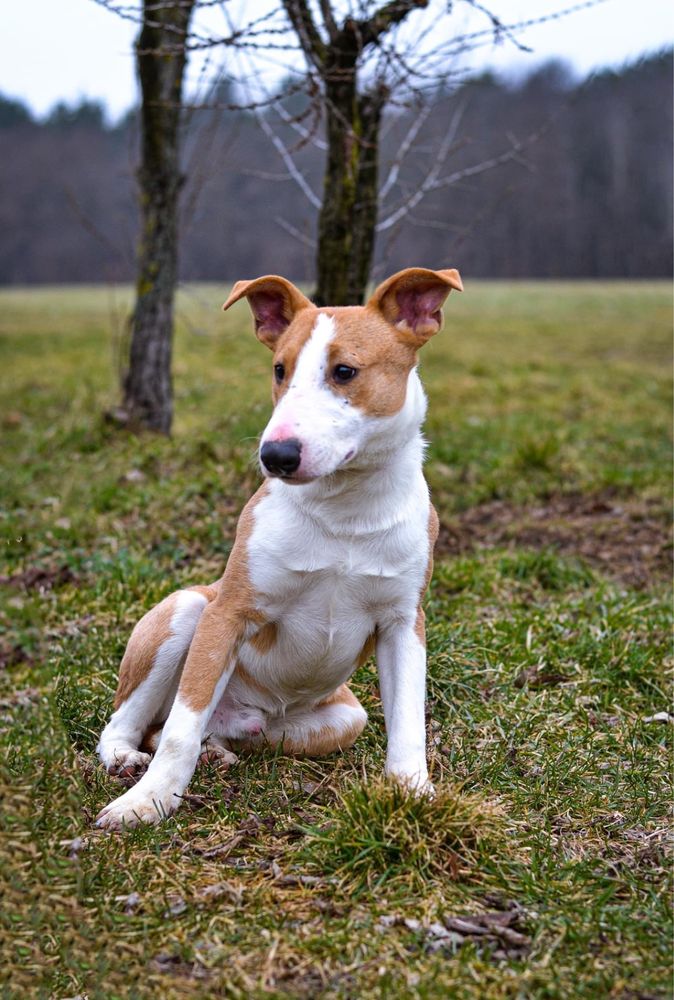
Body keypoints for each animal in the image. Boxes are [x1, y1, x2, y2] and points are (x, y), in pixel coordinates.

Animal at [94, 266, 460, 828]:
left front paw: (412, 794)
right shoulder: (228, 614)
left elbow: (407, 722)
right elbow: (182, 727)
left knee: (213, 731)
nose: (276, 455)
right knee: (142, 722)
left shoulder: (403, 624)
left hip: (342, 716)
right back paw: (126, 760)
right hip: (186, 611)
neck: (345, 507)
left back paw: (218, 750)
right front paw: (148, 801)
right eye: (279, 370)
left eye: (345, 372)